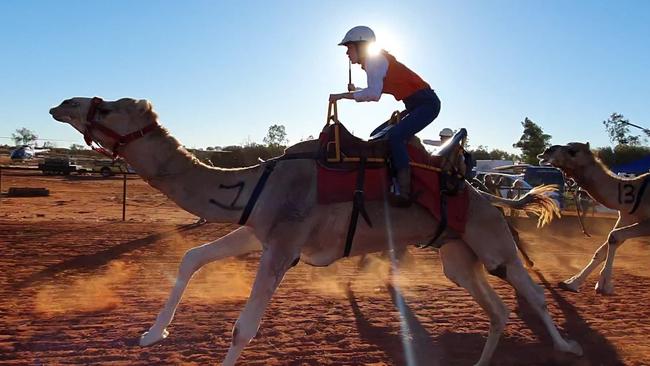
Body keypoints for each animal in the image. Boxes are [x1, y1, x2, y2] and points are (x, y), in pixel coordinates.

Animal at [48, 97, 580, 366]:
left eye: (109, 108)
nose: (62, 104)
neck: (251, 182)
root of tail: (490, 193)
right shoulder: (258, 231)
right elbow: (191, 258)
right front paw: (150, 334)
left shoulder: (282, 245)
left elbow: (243, 328)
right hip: (456, 255)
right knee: (496, 310)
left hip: (491, 241)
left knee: (529, 291)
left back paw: (567, 347)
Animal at [536, 142, 648, 294]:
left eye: (572, 151)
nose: (547, 150)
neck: (634, 193)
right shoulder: (627, 217)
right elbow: (602, 249)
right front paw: (571, 283)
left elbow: (614, 236)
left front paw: (604, 285)